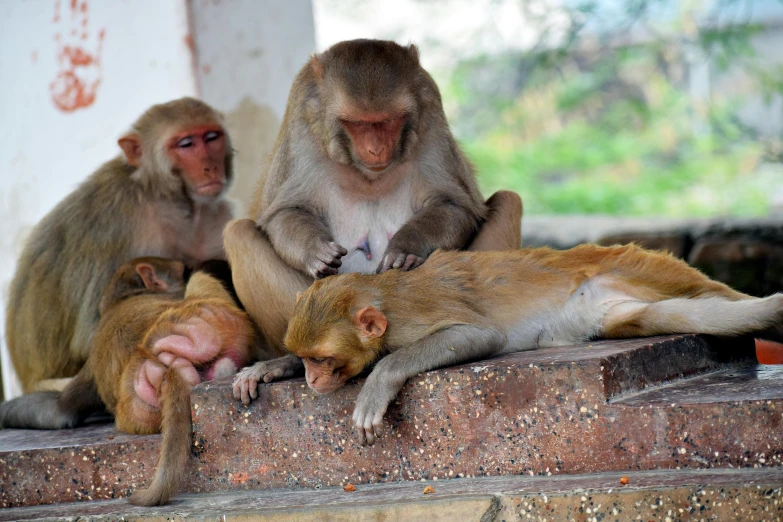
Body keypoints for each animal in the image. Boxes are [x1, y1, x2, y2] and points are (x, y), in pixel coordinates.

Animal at [0, 256, 258, 504]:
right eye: (181, 269)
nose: (187, 268)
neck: (122, 298)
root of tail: (159, 360)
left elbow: (59, 411)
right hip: (210, 319)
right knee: (202, 280)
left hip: (139, 406)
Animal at [6, 97, 236, 390]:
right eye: (186, 144)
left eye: (211, 138)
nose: (210, 167)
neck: (169, 197)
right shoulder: (115, 219)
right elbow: (93, 335)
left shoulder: (216, 216)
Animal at [224, 39, 524, 390]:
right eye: (358, 124)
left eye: (388, 121)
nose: (376, 149)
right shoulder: (302, 118)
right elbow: (285, 211)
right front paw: (317, 252)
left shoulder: (430, 112)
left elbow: (453, 203)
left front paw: (406, 247)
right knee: (239, 233)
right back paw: (290, 362)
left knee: (508, 201)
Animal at [233, 243, 783, 442]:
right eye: (306, 358)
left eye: (323, 360)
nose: (311, 379)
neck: (384, 301)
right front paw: (265, 369)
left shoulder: (413, 321)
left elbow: (479, 334)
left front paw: (378, 385)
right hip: (620, 308)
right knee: (695, 314)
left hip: (641, 264)